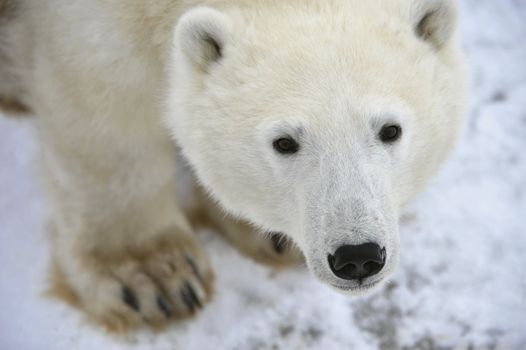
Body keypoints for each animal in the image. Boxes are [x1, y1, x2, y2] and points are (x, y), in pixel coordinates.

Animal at [2, 0, 468, 332]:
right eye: (285, 142)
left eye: (390, 130)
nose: (358, 257)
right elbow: (105, 115)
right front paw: (153, 277)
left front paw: (266, 235)